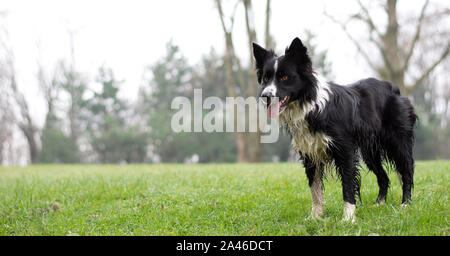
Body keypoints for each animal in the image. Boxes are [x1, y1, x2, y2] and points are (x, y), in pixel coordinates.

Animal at [253, 37, 418, 222]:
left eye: (284, 77)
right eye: (266, 78)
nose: (265, 96)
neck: (311, 106)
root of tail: (394, 88)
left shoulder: (344, 150)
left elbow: (347, 184)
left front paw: (348, 218)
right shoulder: (310, 153)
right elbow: (315, 189)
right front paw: (315, 217)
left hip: (398, 142)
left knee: (407, 170)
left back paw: (406, 204)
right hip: (369, 152)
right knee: (383, 177)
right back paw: (379, 204)